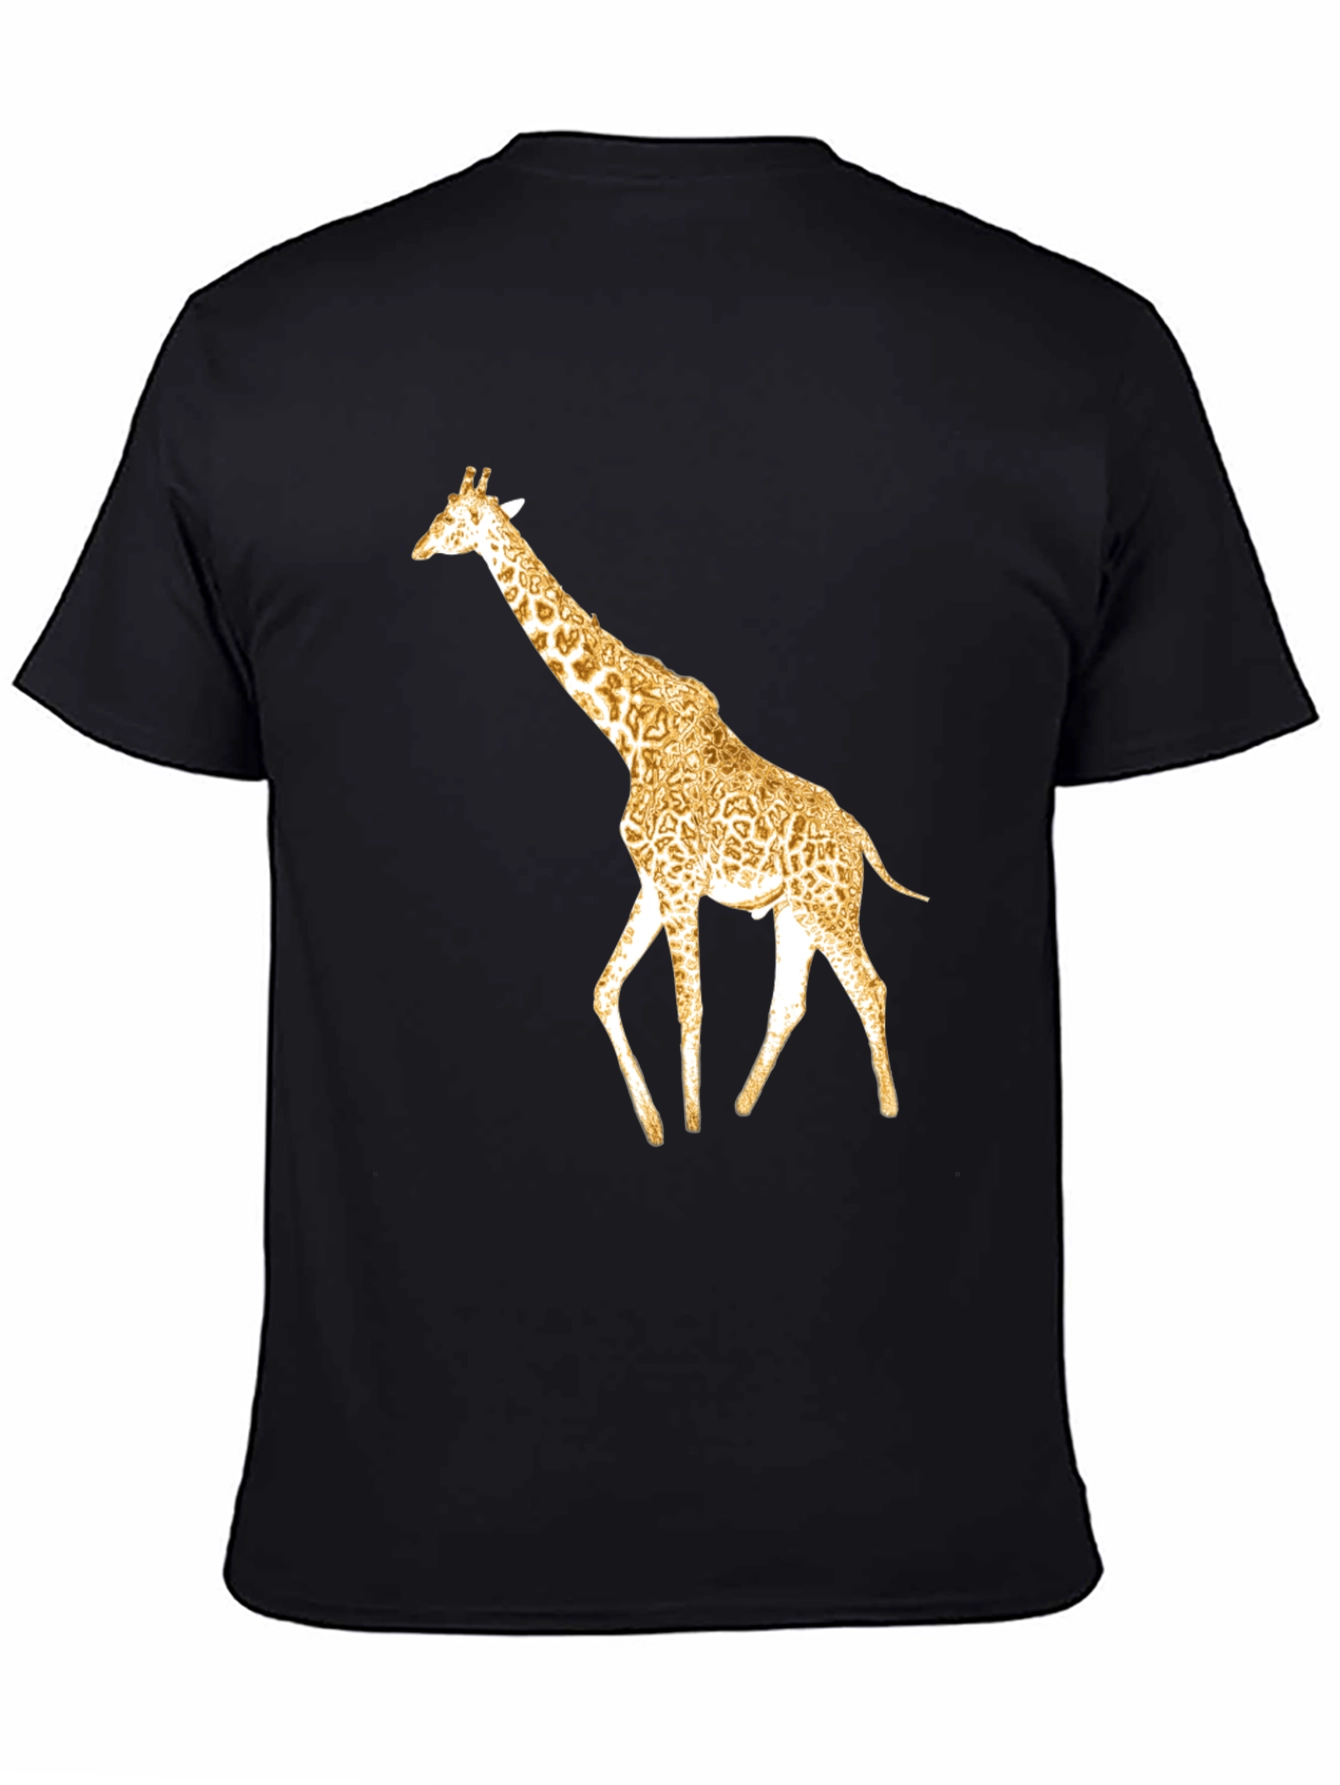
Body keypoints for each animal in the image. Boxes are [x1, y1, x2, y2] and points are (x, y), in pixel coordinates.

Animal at [412, 467, 927, 1147]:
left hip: (830, 906)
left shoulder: (680, 882)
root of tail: (859, 837)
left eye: (452, 519)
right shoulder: (654, 881)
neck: (628, 730)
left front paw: (690, 1121)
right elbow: (605, 990)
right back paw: (743, 1105)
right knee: (790, 1002)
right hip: (795, 913)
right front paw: (655, 1124)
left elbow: (691, 1004)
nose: (418, 549)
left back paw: (889, 1107)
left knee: (869, 985)